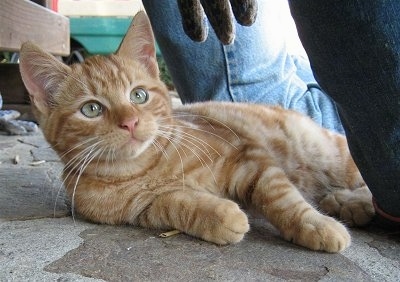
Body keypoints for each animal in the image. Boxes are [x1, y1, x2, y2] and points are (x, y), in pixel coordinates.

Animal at [19, 12, 376, 252]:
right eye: (91, 109)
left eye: (138, 95)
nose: (130, 122)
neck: (141, 170)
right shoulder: (145, 209)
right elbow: (176, 204)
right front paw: (220, 216)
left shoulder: (248, 154)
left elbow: (280, 196)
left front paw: (315, 225)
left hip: (331, 153)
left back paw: (348, 201)